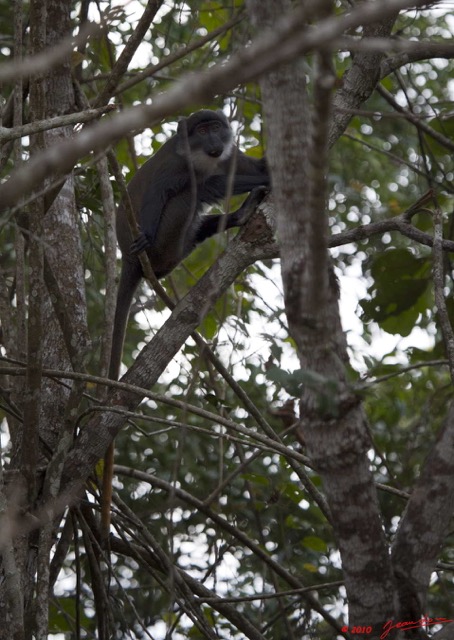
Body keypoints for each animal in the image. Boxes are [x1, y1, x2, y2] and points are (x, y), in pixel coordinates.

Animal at [101, 110, 268, 540]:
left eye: (217, 128)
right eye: (201, 130)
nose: (213, 139)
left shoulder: (229, 155)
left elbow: (249, 167)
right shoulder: (176, 166)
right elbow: (174, 191)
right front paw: (271, 178)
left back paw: (240, 215)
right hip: (167, 243)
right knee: (194, 194)